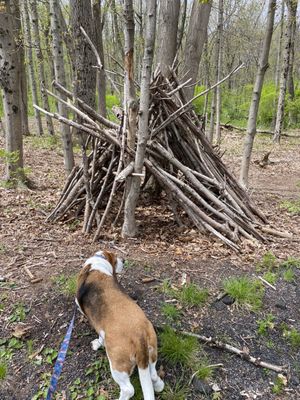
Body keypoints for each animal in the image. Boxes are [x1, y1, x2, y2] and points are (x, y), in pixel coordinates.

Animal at [75, 250, 164, 400]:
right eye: (116, 259)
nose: (124, 260)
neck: (96, 264)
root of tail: (138, 334)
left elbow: (100, 336)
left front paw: (97, 344)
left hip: (117, 365)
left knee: (129, 389)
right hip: (151, 352)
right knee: (153, 375)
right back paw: (158, 385)